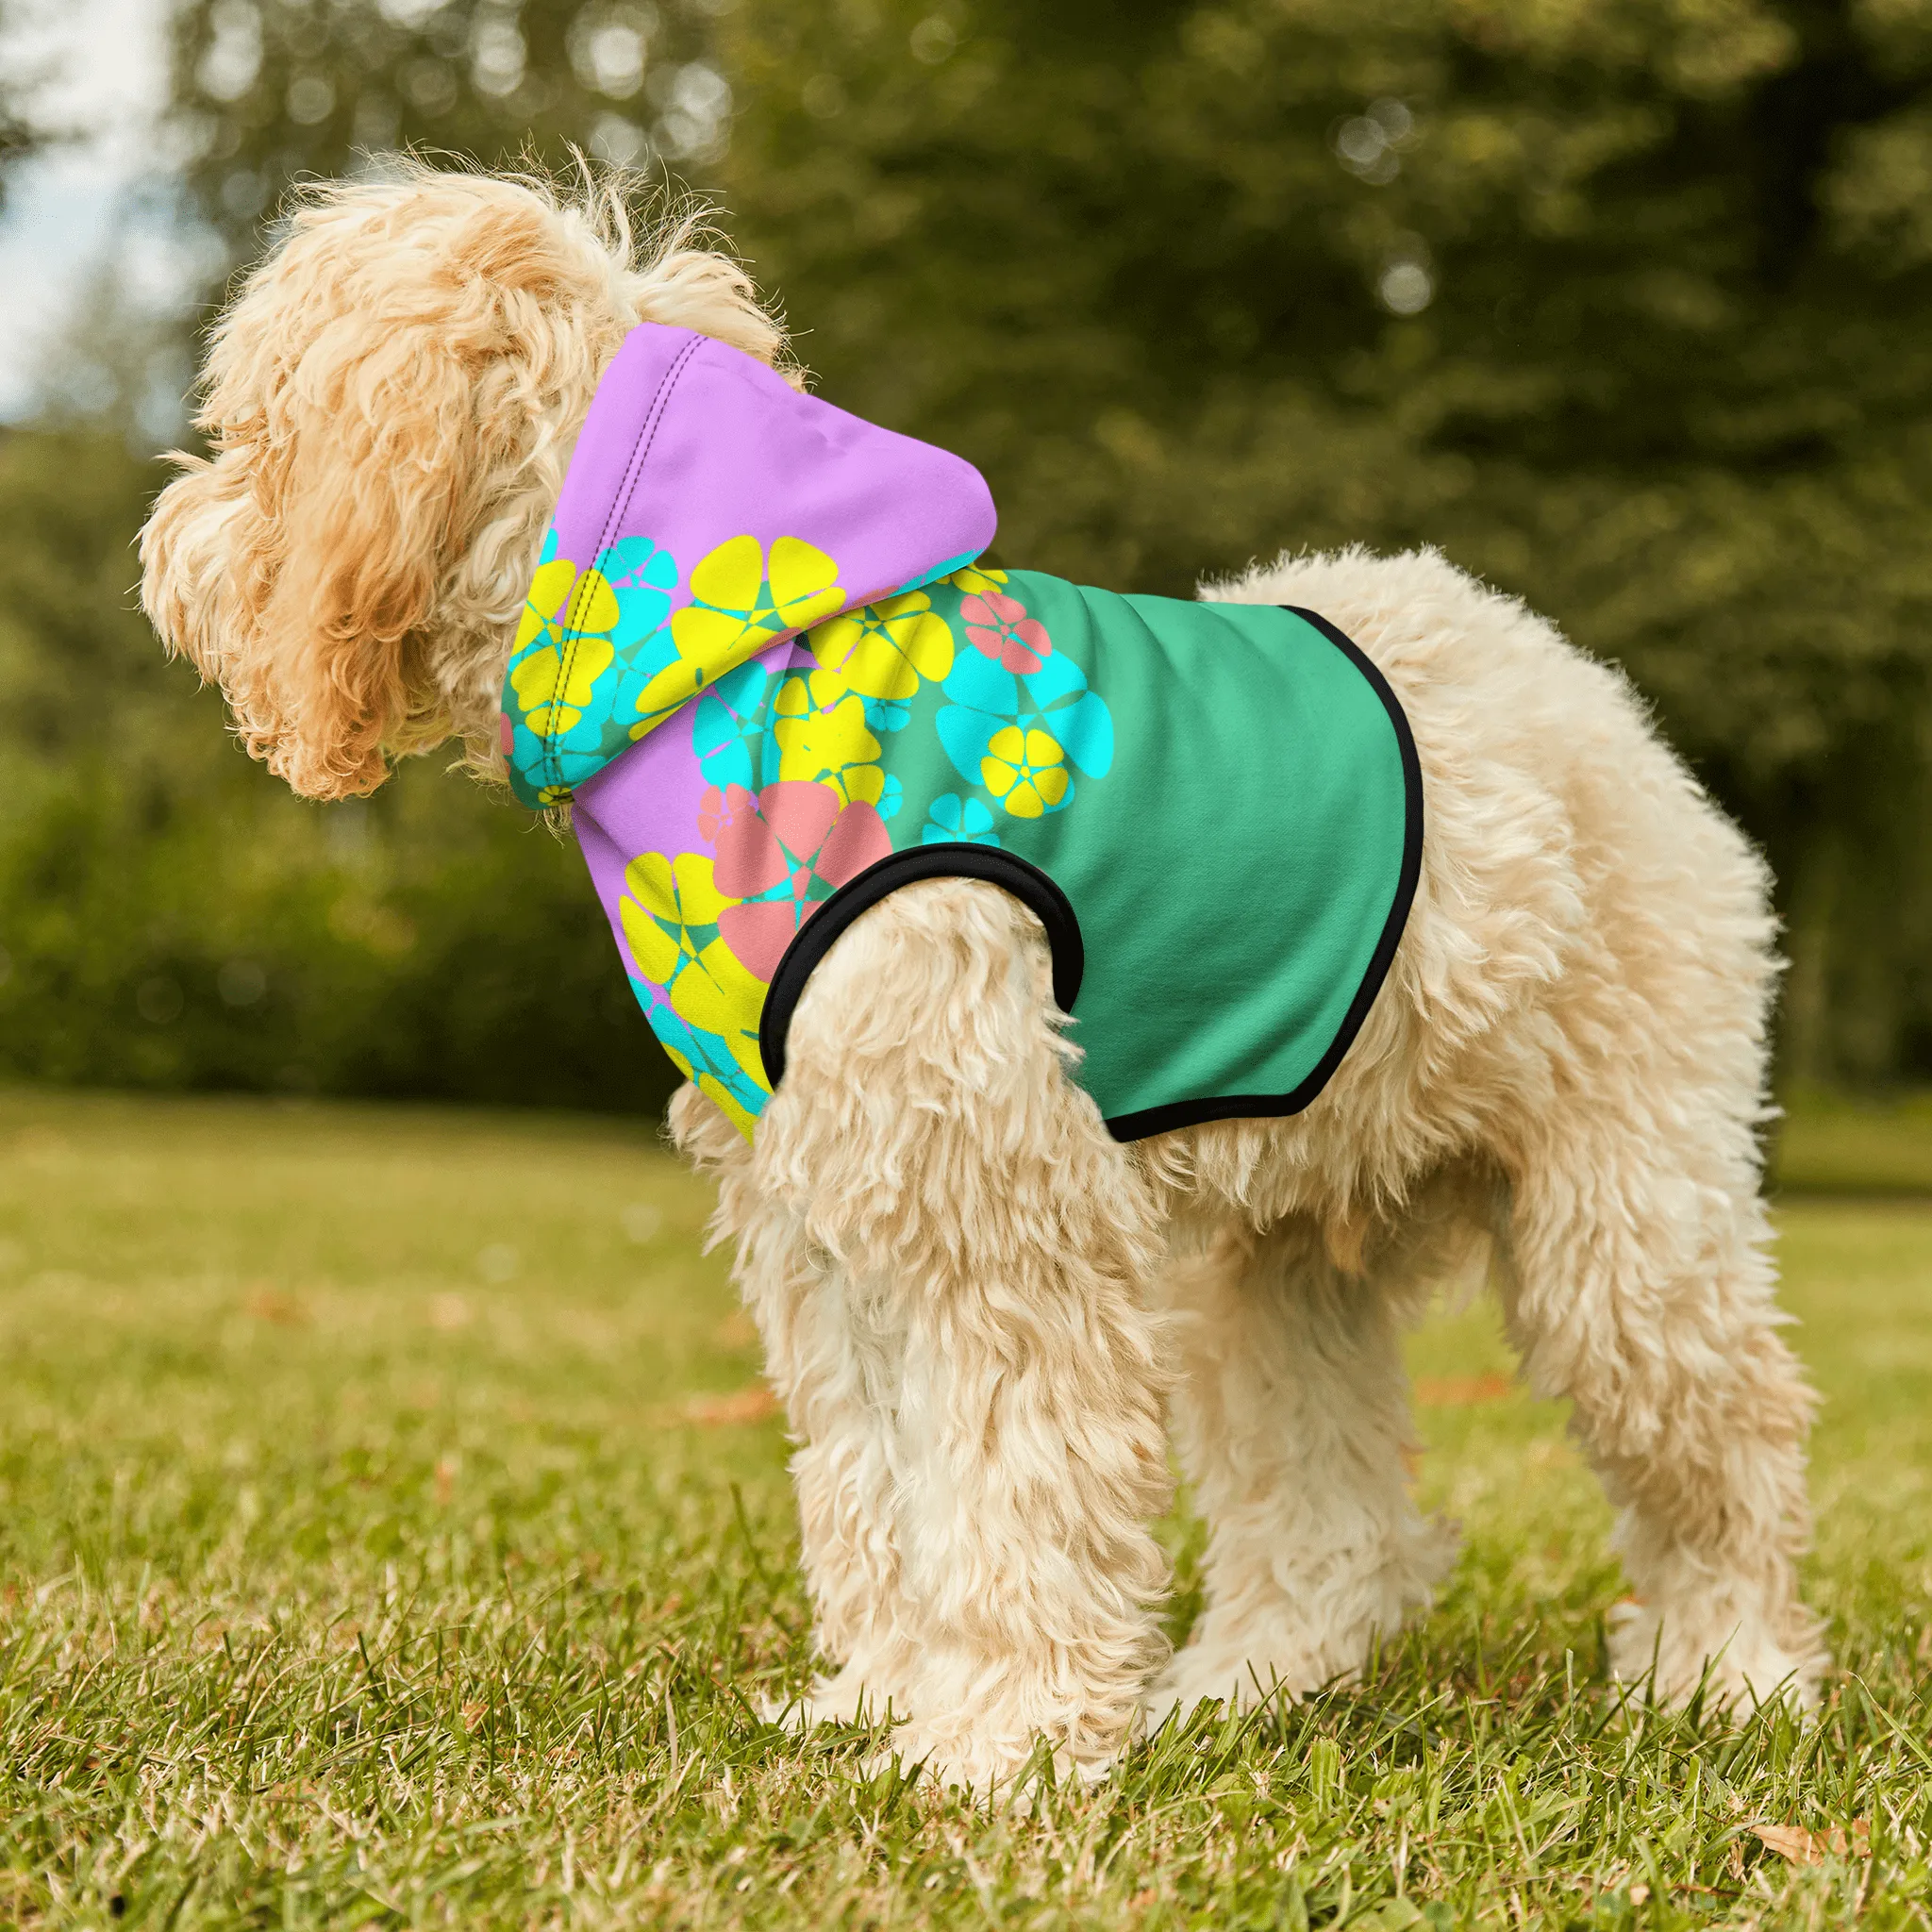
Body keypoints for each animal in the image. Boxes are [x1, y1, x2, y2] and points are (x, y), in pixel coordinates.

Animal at [140, 170, 1824, 1792]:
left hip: (1625, 1224)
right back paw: (1243, 1687)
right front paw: (886, 1703)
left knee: (1730, 1448)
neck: (734, 655)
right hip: (1272, 1268)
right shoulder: (828, 1220)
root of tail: (1589, 695)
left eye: (252, 429)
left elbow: (1015, 1489)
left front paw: (998, 1746)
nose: (164, 548)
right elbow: (880, 1487)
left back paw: (1727, 1676)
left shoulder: (996, 1209)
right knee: (1334, 1521)